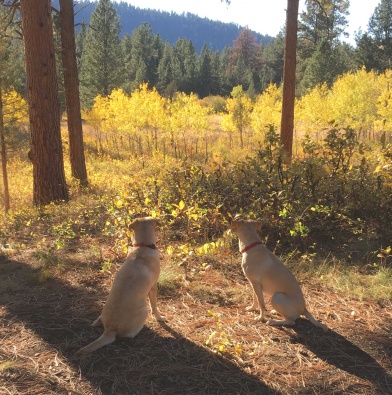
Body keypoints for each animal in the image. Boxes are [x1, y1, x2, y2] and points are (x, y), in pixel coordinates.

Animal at [75, 218, 165, 358]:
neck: (142, 247)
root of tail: (110, 329)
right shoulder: (153, 286)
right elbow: (154, 306)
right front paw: (159, 317)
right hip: (143, 311)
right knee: (129, 334)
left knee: (98, 319)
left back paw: (96, 322)